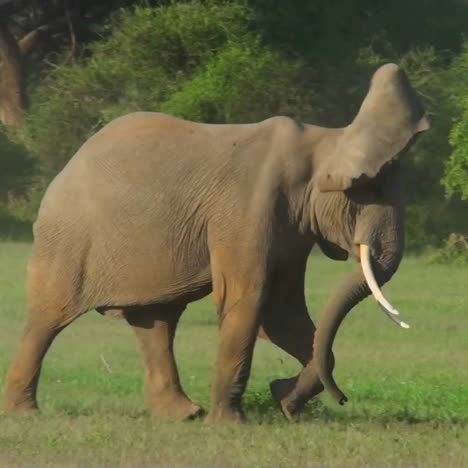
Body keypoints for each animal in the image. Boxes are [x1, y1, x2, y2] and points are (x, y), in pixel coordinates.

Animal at [2, 63, 428, 424]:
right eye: (369, 191)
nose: (342, 399)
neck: (323, 141)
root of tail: (66, 167)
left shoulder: (292, 228)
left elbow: (281, 310)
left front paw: (283, 401)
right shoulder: (248, 207)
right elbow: (248, 298)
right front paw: (232, 423)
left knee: (155, 322)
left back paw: (183, 414)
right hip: (68, 240)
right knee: (48, 317)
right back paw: (25, 413)